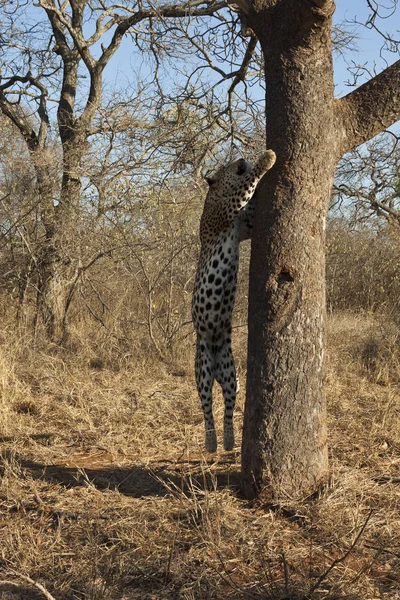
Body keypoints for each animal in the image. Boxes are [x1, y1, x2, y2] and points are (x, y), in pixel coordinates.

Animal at [192, 149, 276, 450]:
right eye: (228, 165)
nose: (240, 158)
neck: (214, 195)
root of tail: (217, 355)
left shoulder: (245, 225)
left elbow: (250, 204)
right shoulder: (228, 209)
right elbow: (247, 185)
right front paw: (267, 158)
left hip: (231, 373)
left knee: (229, 404)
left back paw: (229, 440)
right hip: (202, 368)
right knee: (206, 405)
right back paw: (212, 441)